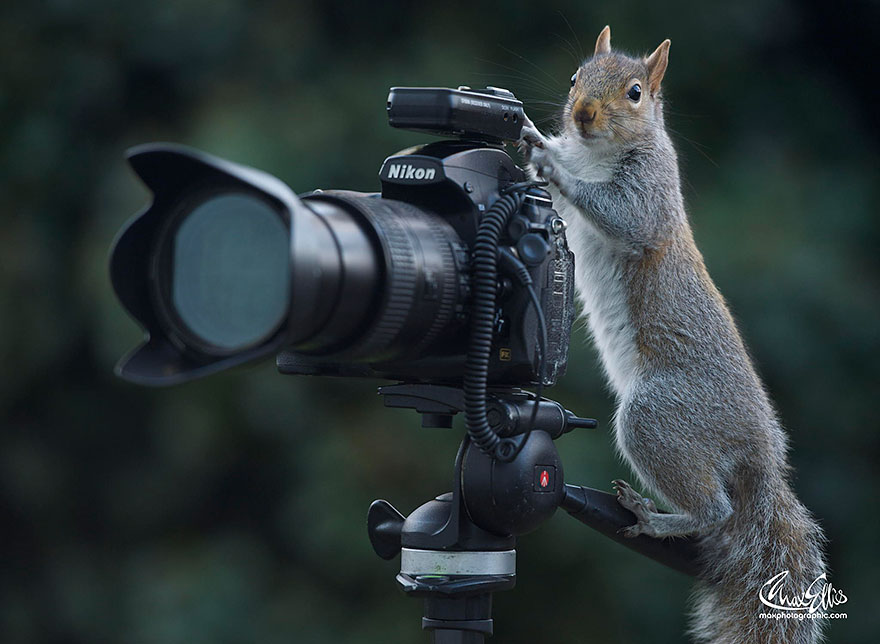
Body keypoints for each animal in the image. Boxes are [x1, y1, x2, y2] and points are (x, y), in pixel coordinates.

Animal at [518, 26, 827, 644]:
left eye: (636, 92)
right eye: (575, 78)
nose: (582, 114)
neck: (596, 153)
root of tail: (760, 455)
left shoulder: (650, 194)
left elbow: (621, 216)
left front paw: (550, 160)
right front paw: (537, 142)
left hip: (662, 417)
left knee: (716, 512)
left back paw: (655, 519)